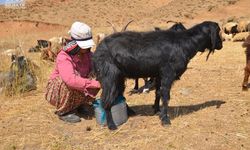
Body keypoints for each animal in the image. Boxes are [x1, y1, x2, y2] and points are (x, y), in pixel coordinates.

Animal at [93, 21, 223, 130]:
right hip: (109, 76)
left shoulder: (159, 75)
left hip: (119, 77)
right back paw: (111, 125)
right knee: (106, 99)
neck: (184, 43)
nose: (221, 45)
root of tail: (98, 50)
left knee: (119, 94)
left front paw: (157, 110)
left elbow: (158, 93)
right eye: (218, 31)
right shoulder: (168, 73)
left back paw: (129, 112)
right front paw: (165, 119)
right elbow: (165, 96)